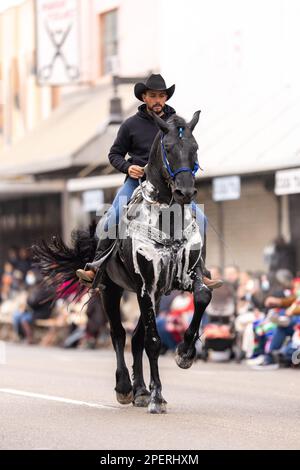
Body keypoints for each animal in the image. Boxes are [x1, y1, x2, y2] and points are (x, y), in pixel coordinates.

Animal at [33, 109, 211, 412]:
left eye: (195, 147)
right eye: (168, 148)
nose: (185, 193)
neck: (168, 224)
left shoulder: (184, 276)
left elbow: (202, 297)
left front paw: (185, 353)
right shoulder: (145, 286)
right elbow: (152, 341)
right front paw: (157, 397)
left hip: (152, 295)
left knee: (135, 337)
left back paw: (140, 390)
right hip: (112, 290)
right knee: (118, 333)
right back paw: (126, 388)